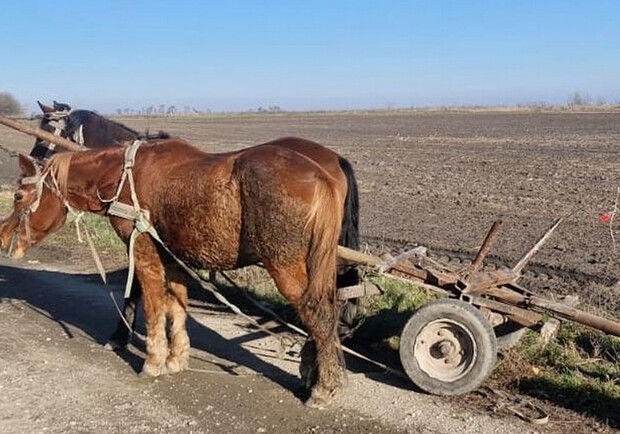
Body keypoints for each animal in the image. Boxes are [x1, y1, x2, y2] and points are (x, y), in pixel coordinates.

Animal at [0, 140, 346, 406]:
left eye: (18, 197)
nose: (2, 237)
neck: (122, 178)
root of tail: (320, 175)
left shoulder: (144, 252)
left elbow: (153, 305)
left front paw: (153, 360)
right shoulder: (175, 258)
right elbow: (175, 307)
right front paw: (177, 357)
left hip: (285, 266)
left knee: (318, 316)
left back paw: (322, 388)